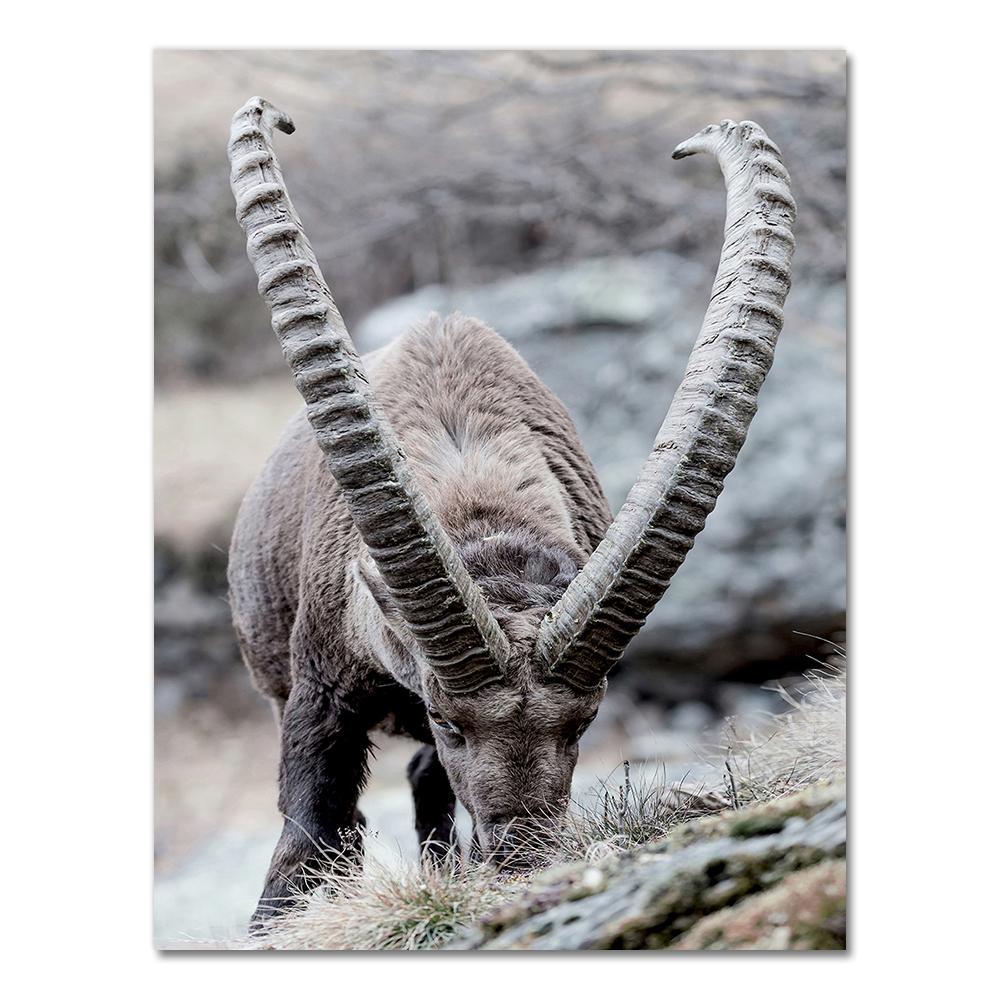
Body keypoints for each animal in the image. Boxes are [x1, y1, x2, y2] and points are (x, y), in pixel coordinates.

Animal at [226, 97, 795, 928]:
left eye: (584, 721)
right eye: (449, 717)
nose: (522, 858)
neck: (474, 486)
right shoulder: (317, 689)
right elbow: (311, 824)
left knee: (425, 790)